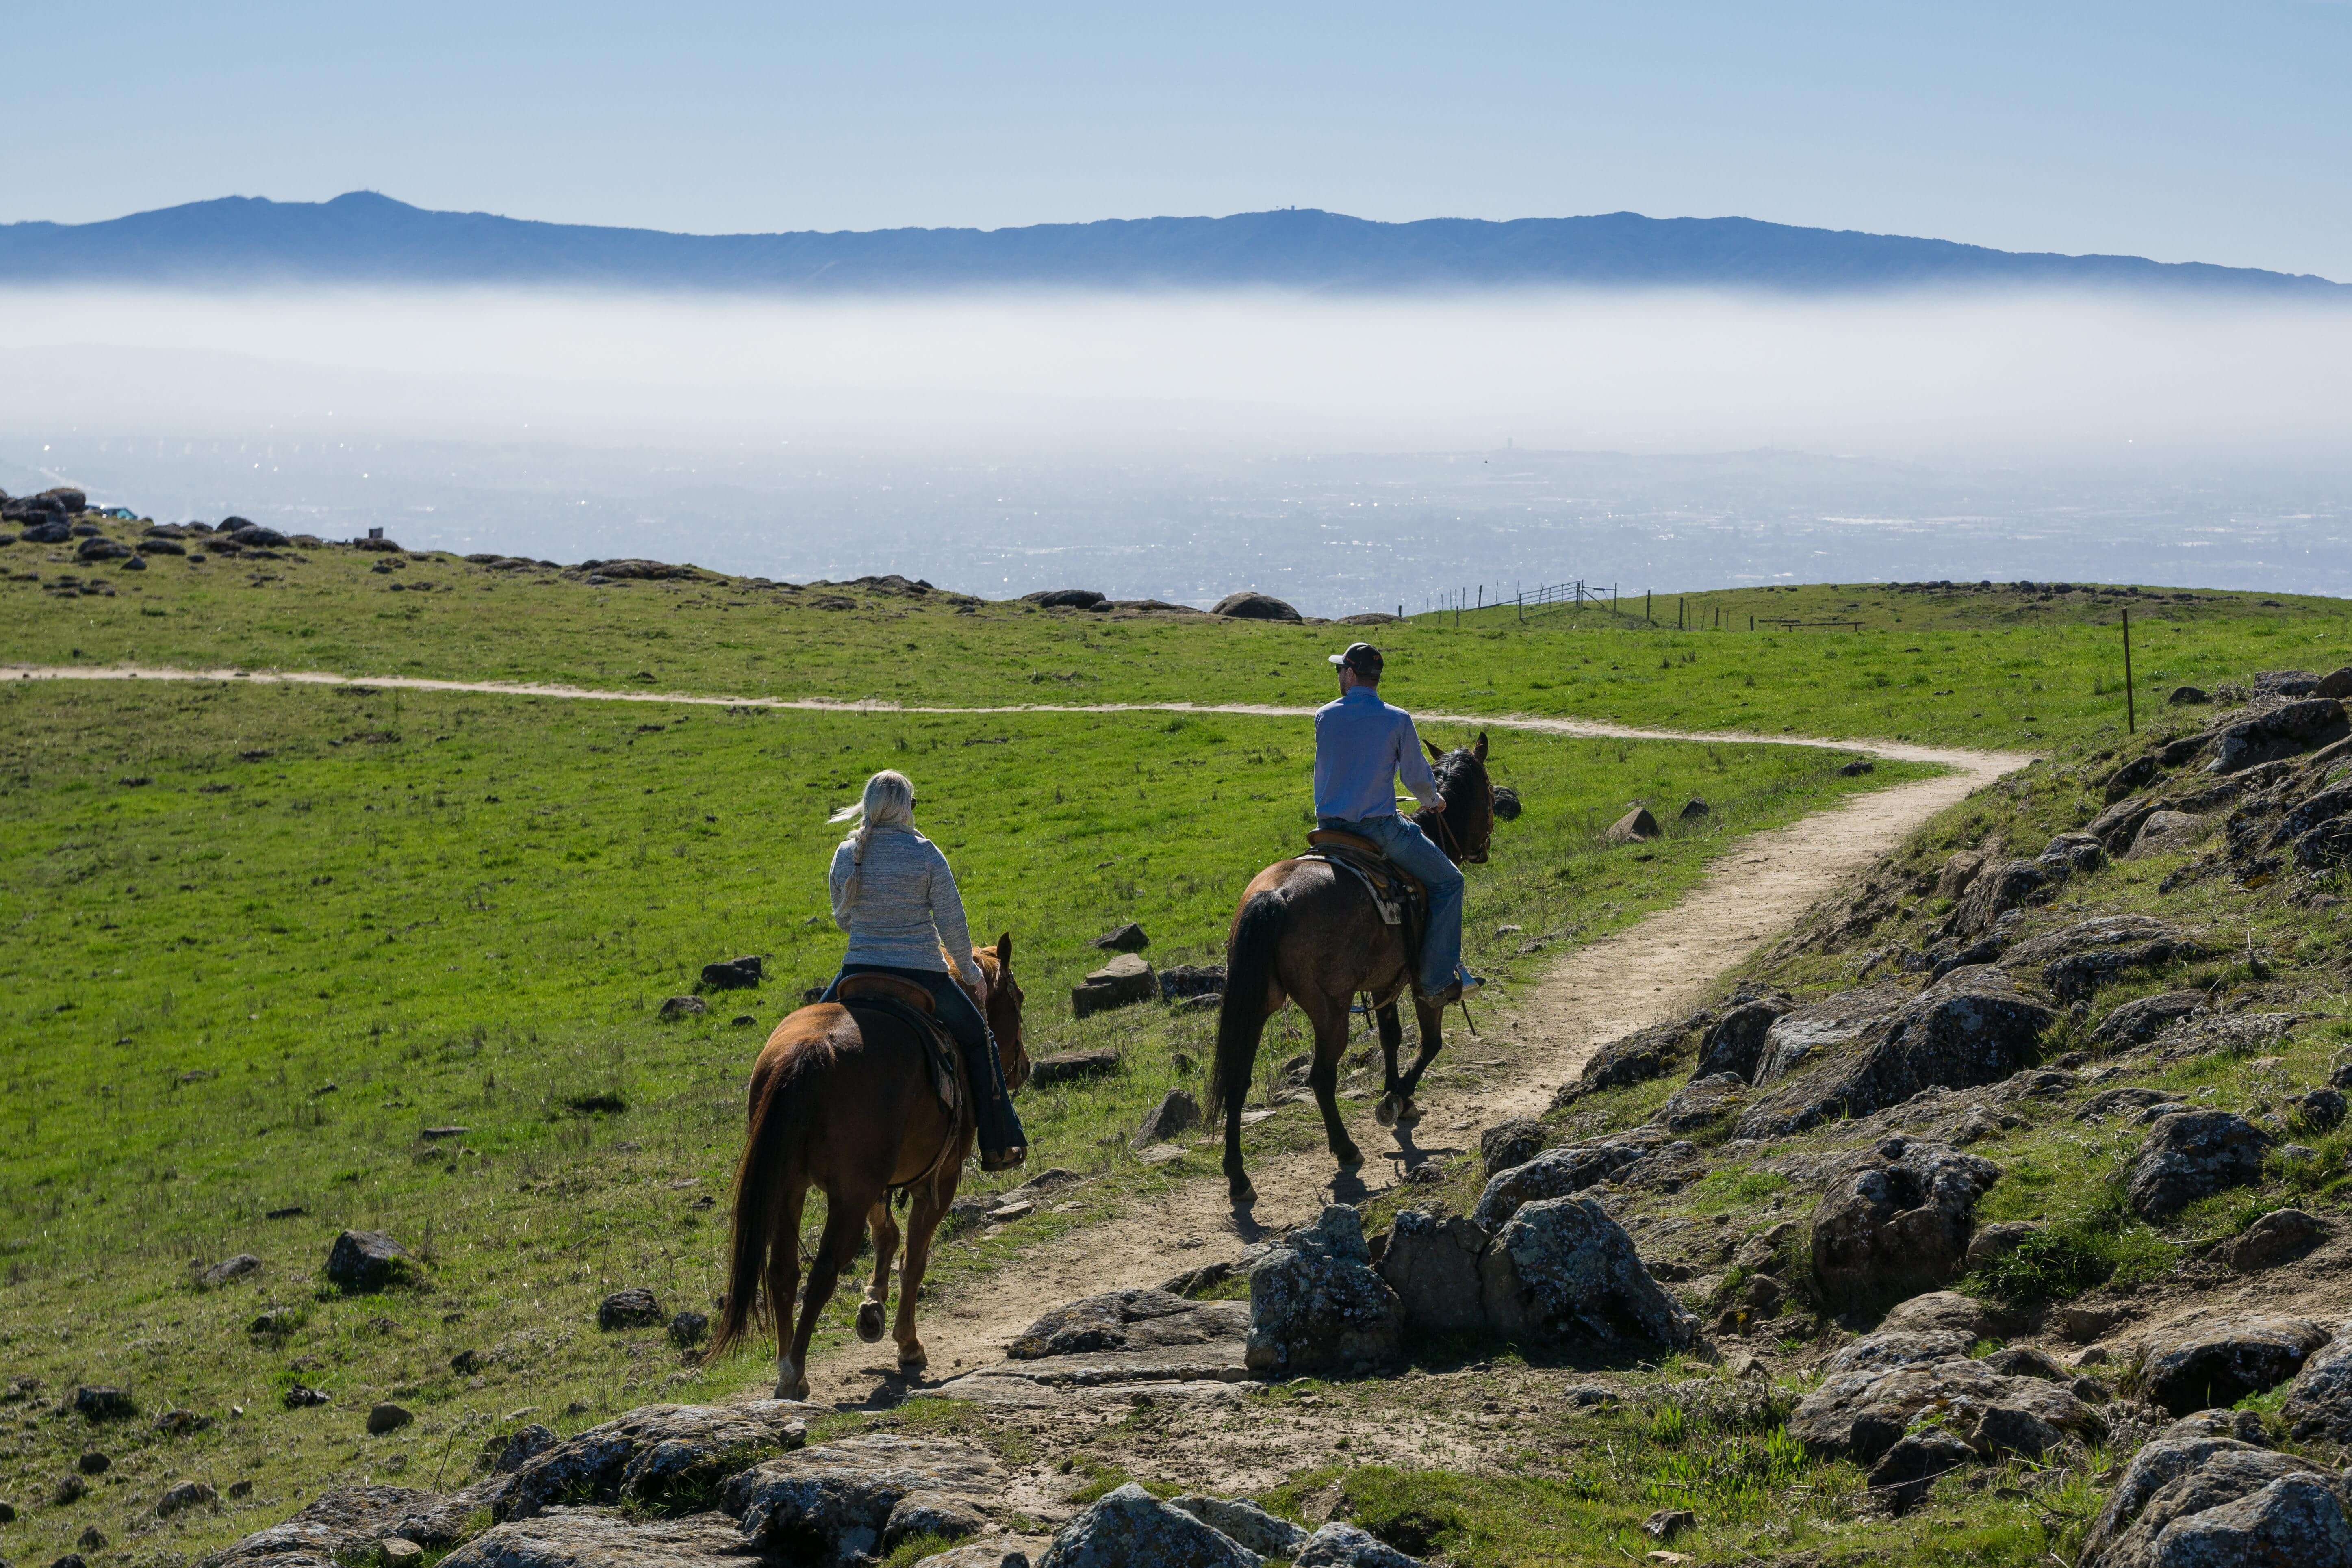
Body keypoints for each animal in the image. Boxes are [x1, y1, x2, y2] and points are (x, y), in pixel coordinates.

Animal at [701, 931, 1025, 1401]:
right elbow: (914, 1258)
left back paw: (787, 1366)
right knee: (823, 1272)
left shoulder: (875, 1182)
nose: (1024, 1066)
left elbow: (886, 1234)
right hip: (847, 1196)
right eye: (1017, 999)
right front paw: (908, 1344)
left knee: (783, 1271)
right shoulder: (938, 1180)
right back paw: (795, 1371)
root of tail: (812, 1048)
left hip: (790, 1187)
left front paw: (872, 1306)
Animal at [1204, 743, 1514, 1213]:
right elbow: (1429, 1042)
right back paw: (1346, 1148)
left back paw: (1238, 1177)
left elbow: (1390, 1038)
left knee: (1238, 1081)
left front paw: (1397, 1095)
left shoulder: (1383, 983)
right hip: (1330, 1010)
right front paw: (1396, 1098)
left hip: (1257, 1004)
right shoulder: (1421, 981)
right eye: (1488, 789)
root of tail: (1274, 896)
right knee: (1320, 1076)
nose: (1484, 847)